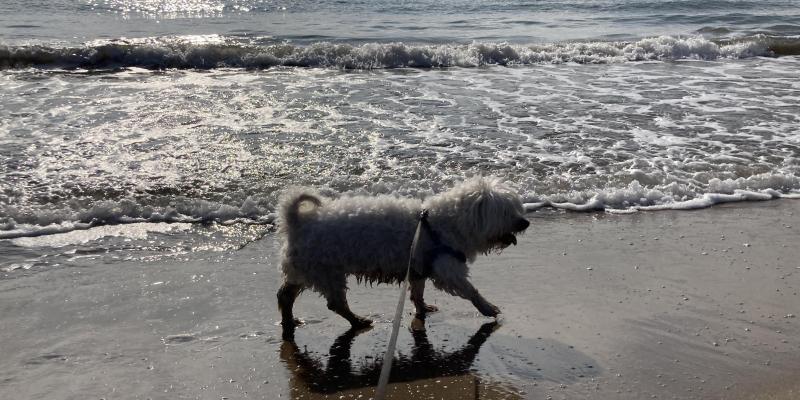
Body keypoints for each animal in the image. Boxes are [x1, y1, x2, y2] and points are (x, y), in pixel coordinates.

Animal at [278, 177, 528, 328]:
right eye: (506, 212)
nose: (525, 222)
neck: (443, 223)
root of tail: (297, 222)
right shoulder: (447, 269)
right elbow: (471, 290)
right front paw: (487, 307)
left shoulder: (418, 269)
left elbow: (417, 293)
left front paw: (423, 309)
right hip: (327, 272)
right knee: (335, 304)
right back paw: (358, 320)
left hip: (304, 270)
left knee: (285, 295)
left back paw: (290, 320)